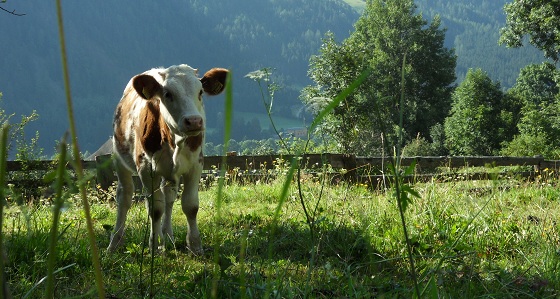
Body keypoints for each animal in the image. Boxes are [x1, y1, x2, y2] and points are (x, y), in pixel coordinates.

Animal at [107, 64, 228, 254]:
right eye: (168, 94)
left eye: (200, 92)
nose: (194, 121)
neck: (174, 140)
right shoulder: (146, 168)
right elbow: (155, 209)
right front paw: (154, 245)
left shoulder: (196, 164)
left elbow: (190, 205)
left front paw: (195, 245)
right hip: (119, 158)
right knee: (125, 197)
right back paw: (115, 242)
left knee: (168, 197)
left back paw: (168, 236)